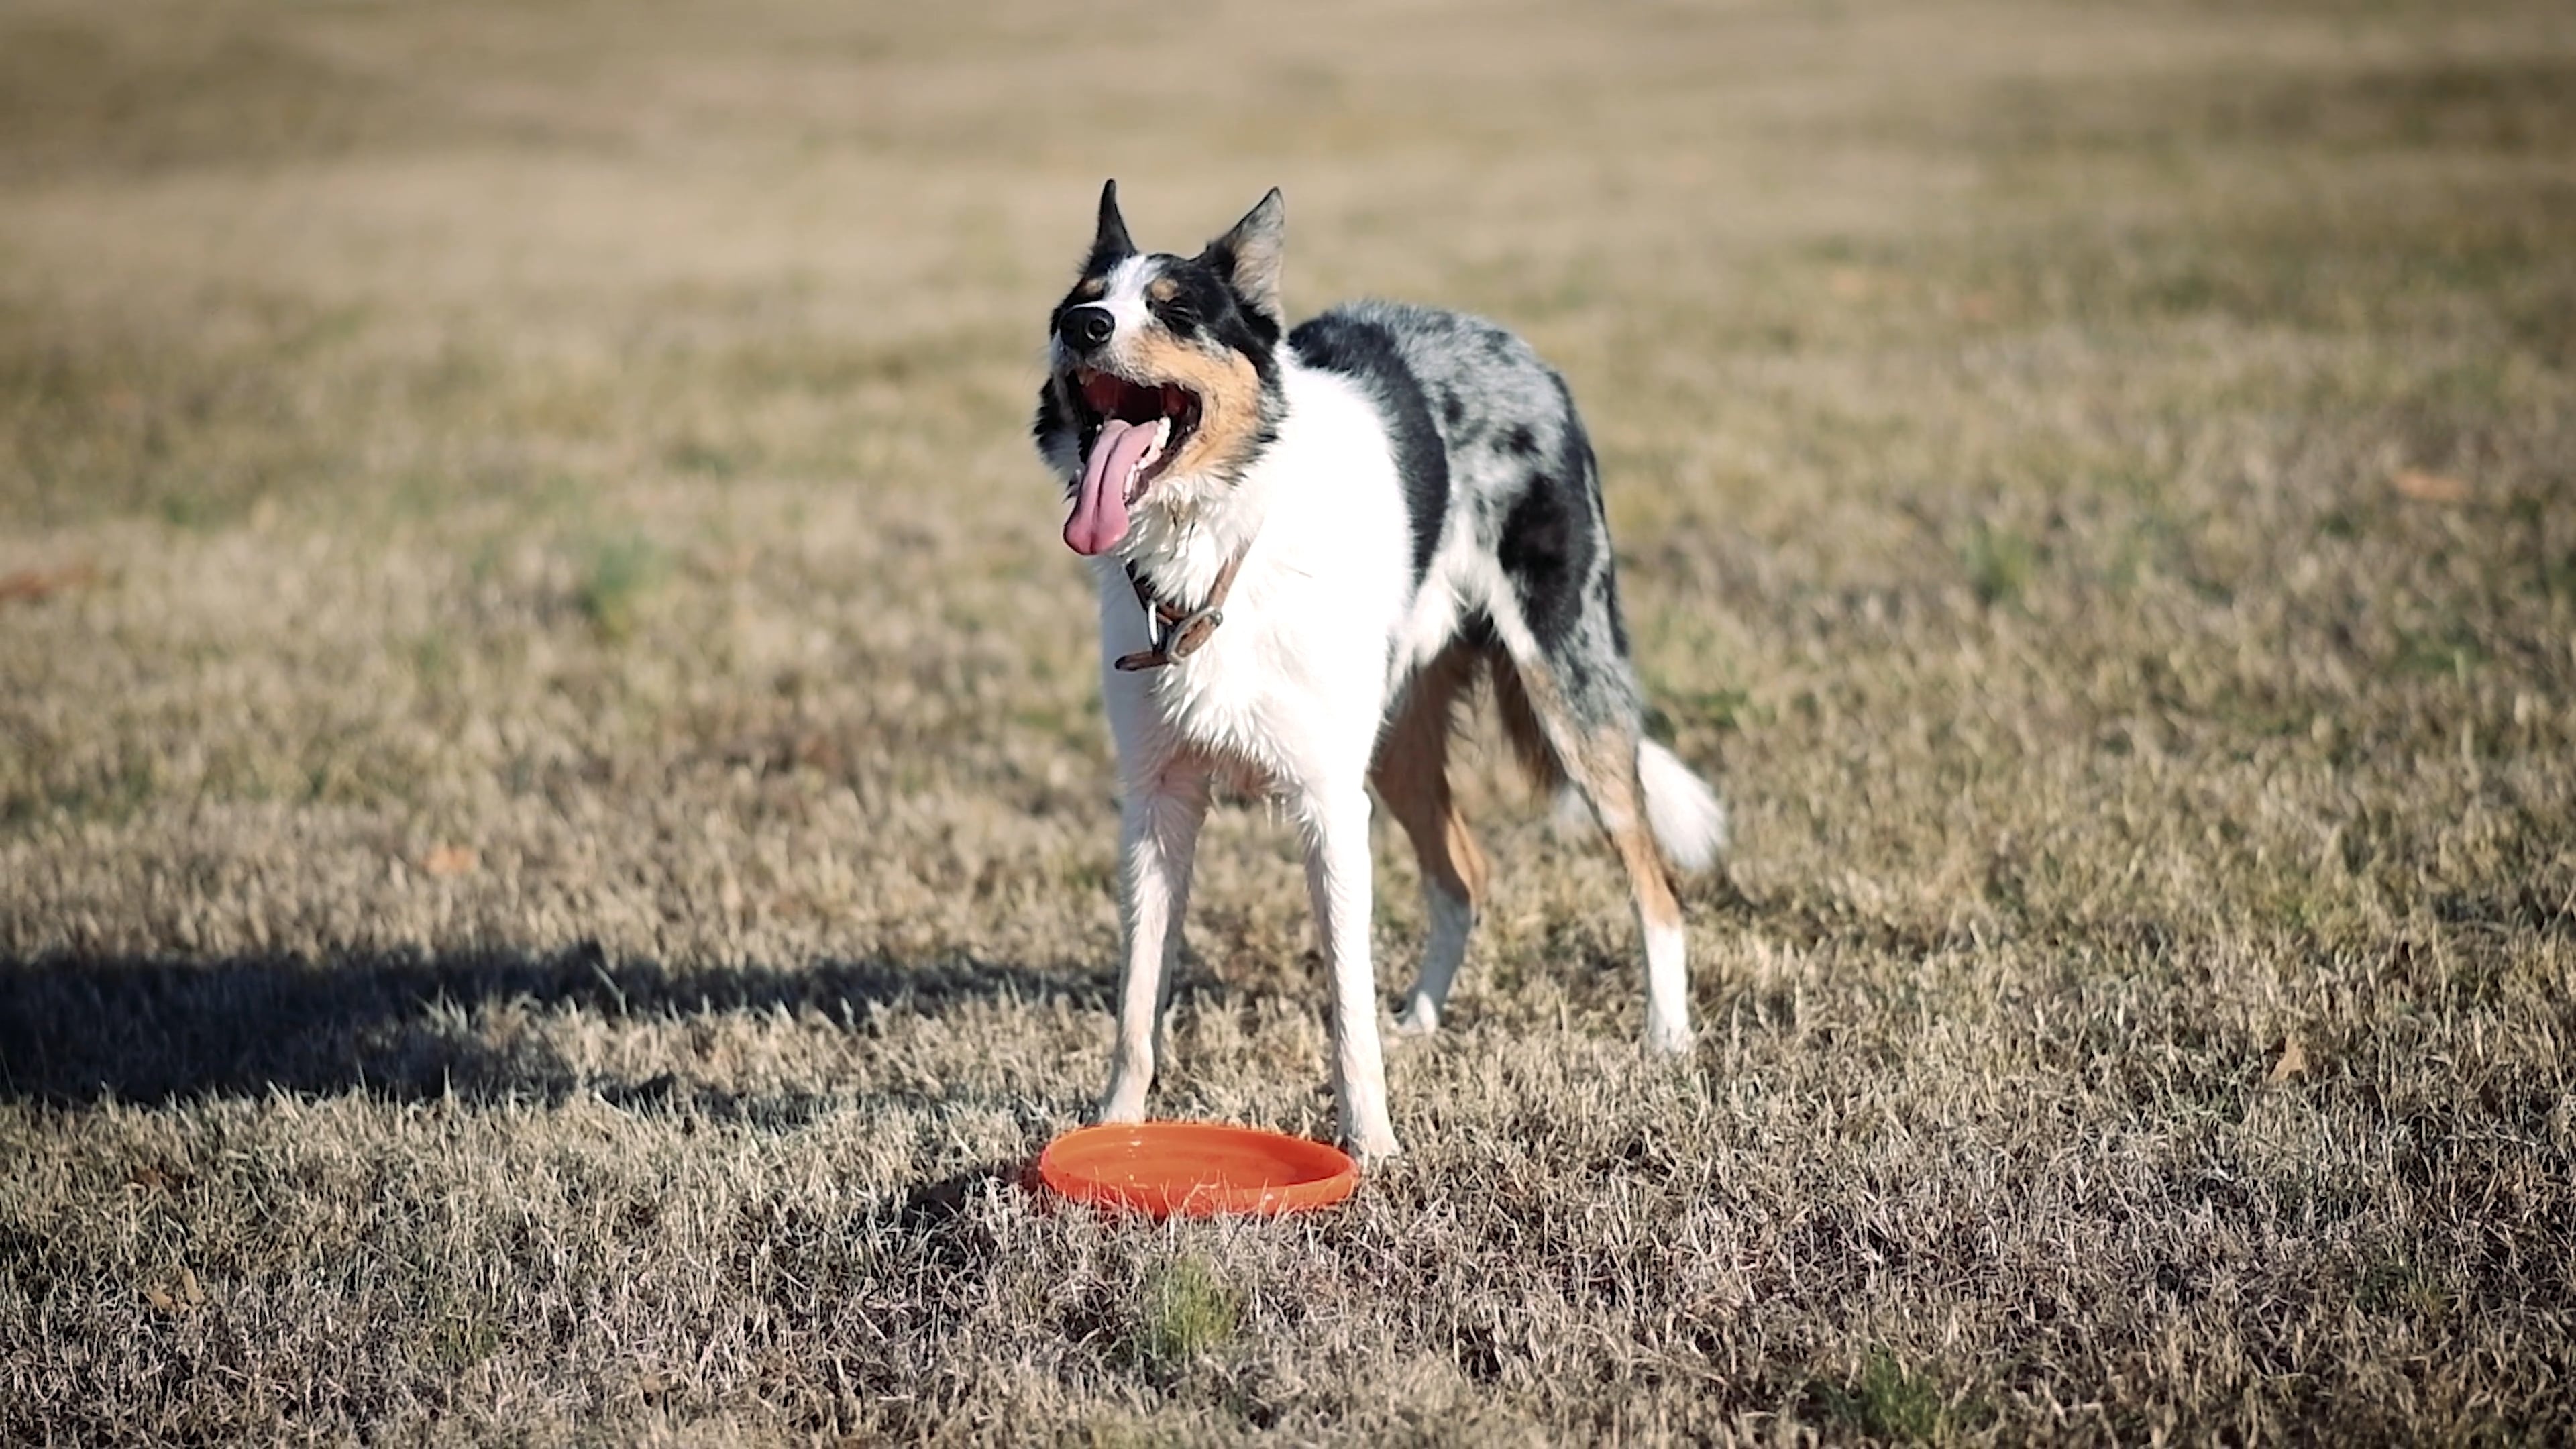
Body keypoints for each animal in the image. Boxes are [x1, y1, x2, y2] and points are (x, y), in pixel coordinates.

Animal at [1030, 180, 1731, 1155]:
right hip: (1398, 741)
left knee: (1653, 883)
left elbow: (1344, 1000)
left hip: (1570, 692)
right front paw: (1115, 1132)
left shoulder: (1330, 803)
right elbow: (1137, 1001)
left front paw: (1371, 1146)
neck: (1219, 548)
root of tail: (1516, 349)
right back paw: (1423, 1021)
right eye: (1080, 301)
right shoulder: (1156, 803)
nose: (1084, 326)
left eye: (1174, 311)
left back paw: (1666, 1038)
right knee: (1464, 877)